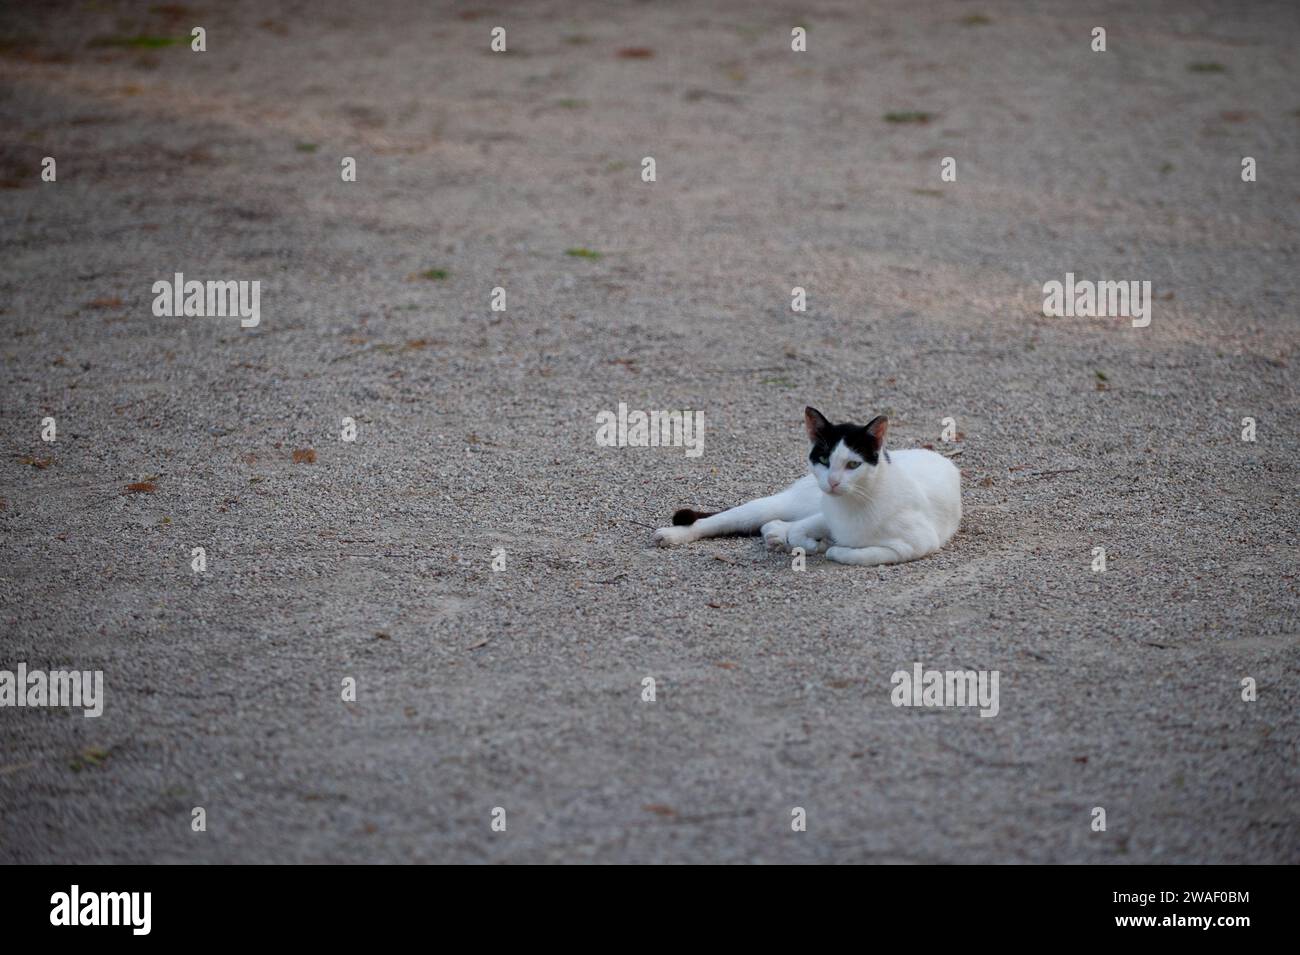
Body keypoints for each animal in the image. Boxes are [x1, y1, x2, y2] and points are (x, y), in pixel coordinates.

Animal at [655, 405, 961, 566]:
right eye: (824, 459)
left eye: (853, 464)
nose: (833, 482)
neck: (853, 504)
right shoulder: (824, 514)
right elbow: (804, 531)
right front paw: (812, 543)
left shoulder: (915, 545)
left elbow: (857, 553)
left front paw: (827, 546)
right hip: (785, 503)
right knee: (728, 519)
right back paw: (671, 535)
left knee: (770, 524)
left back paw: (779, 536)